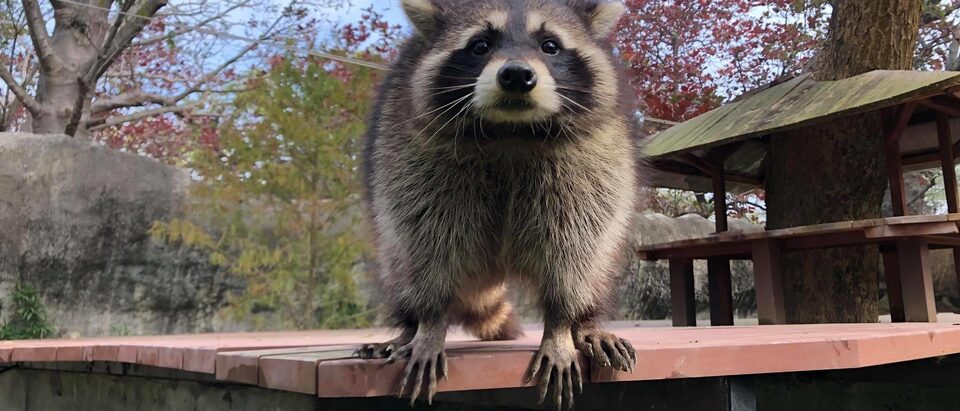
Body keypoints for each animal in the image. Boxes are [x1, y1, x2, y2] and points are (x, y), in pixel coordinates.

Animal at [357, 0, 638, 408]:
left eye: (550, 46)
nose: (517, 75)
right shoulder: (412, 157)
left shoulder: (591, 160)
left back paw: (587, 322)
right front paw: (429, 324)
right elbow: (427, 245)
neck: (511, 130)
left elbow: (574, 250)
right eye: (480, 45)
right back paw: (408, 327)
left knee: (596, 265)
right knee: (401, 264)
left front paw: (561, 326)